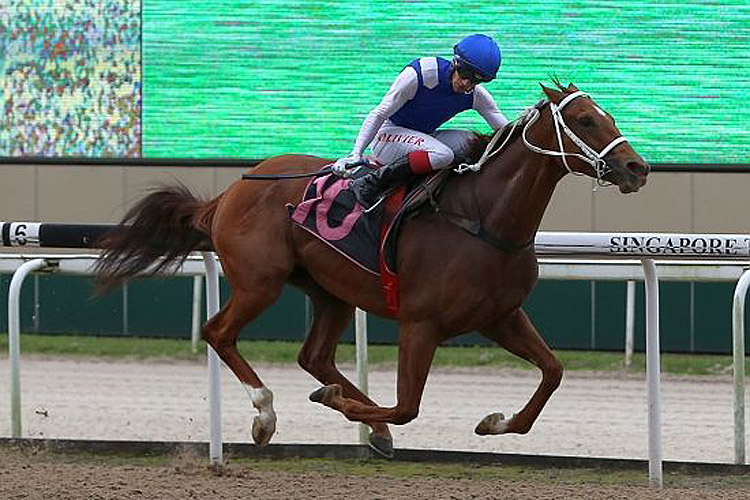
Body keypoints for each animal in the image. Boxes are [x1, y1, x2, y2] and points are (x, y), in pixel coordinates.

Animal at [95, 83, 652, 458]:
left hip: (330, 291)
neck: (484, 219)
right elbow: (407, 406)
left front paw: (495, 422)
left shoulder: (501, 315)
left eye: (606, 114)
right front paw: (352, 411)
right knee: (219, 332)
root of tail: (230, 192)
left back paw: (349, 412)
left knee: (314, 356)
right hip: (260, 281)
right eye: (584, 120)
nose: (637, 168)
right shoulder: (420, 323)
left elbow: (553, 372)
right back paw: (266, 413)